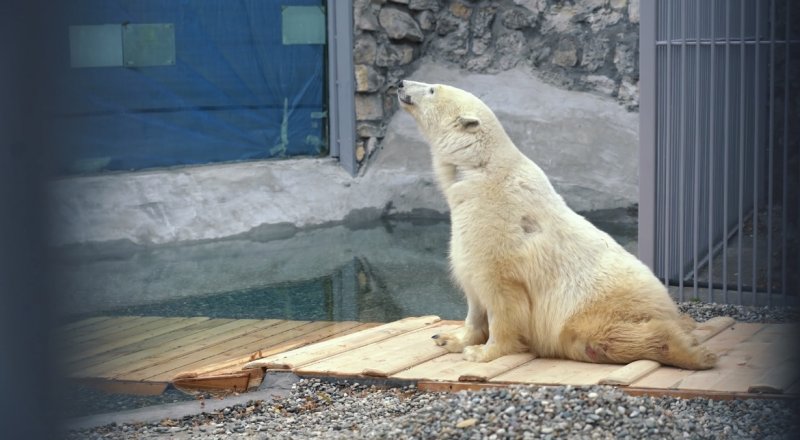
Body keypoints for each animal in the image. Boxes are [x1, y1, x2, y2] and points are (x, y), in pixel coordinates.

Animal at [400, 78, 720, 368]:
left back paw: (694, 352)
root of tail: (665, 302)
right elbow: (474, 293)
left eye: (432, 88)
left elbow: (501, 295)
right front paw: (449, 338)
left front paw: (483, 352)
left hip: (594, 304)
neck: (482, 173)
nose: (401, 83)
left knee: (606, 336)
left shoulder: (499, 226)